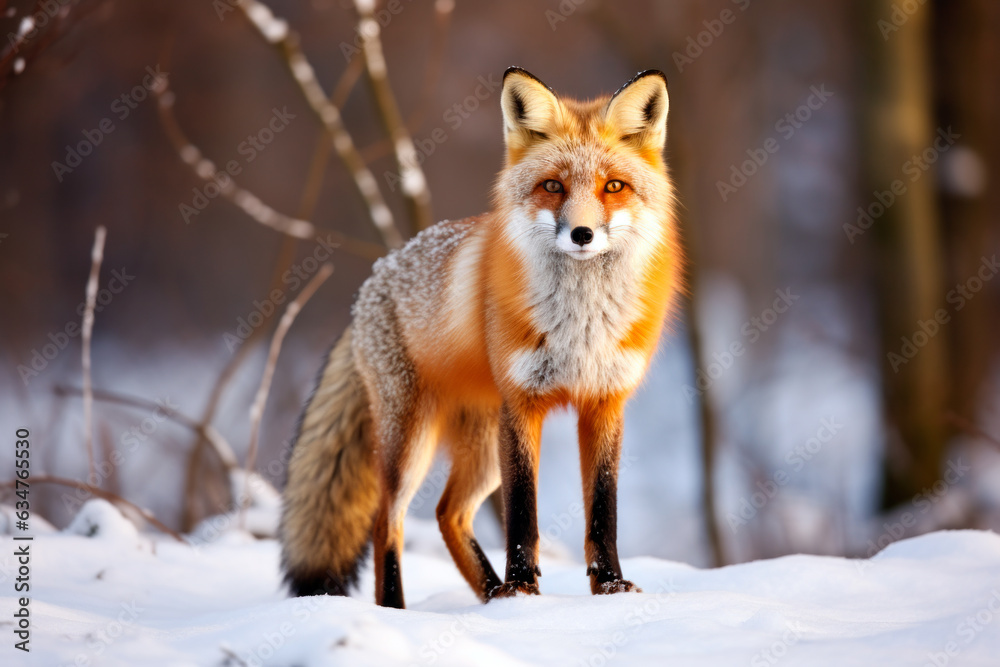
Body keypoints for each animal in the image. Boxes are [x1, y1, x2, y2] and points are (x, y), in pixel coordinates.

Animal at [284, 68, 688, 612]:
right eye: (553, 186)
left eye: (614, 187)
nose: (582, 234)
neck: (579, 325)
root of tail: (373, 278)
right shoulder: (521, 403)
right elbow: (523, 513)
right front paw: (524, 591)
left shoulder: (605, 401)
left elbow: (604, 512)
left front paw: (608, 587)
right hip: (414, 438)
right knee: (386, 520)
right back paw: (402, 608)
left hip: (479, 447)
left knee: (447, 514)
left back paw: (491, 592)